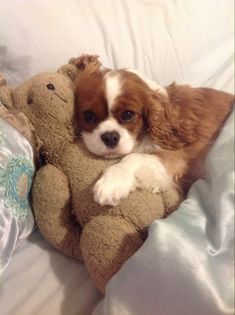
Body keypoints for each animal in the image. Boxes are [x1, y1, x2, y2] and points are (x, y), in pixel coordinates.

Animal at [74, 59, 234, 207]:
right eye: (88, 116)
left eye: (127, 115)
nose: (110, 137)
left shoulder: (176, 158)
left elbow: (134, 157)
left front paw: (112, 181)